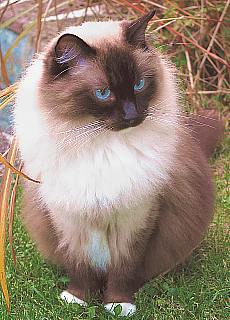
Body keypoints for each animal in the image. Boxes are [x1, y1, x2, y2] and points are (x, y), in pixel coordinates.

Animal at [13, 10, 223, 318]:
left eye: (139, 85)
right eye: (103, 93)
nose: (132, 114)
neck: (101, 145)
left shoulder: (136, 218)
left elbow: (125, 269)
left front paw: (118, 304)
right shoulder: (69, 220)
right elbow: (80, 267)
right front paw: (78, 299)